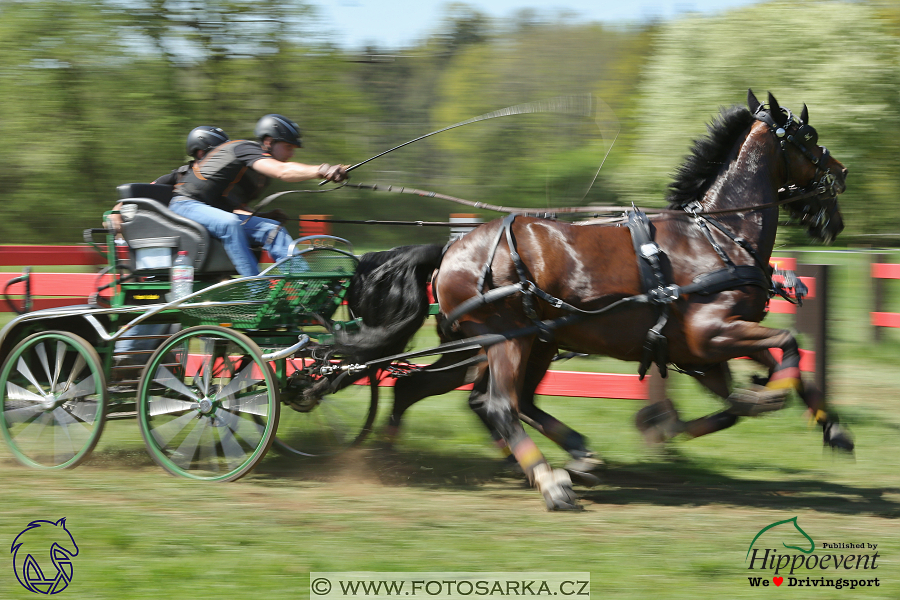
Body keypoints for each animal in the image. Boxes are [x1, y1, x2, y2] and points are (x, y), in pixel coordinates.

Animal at [340, 90, 852, 510]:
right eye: (809, 136)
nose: (842, 173)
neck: (717, 234)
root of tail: (451, 249)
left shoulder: (709, 348)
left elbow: (764, 378)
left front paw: (829, 424)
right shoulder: (710, 335)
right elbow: (785, 347)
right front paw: (761, 397)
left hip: (525, 342)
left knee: (450, 392)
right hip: (507, 338)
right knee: (499, 404)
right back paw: (550, 481)